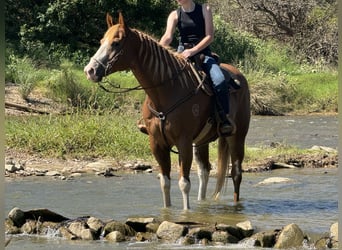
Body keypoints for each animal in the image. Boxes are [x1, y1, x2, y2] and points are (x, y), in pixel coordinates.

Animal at [84, 12, 250, 210]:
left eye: (116, 43)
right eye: (102, 41)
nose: (90, 71)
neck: (167, 90)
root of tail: (239, 76)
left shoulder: (183, 142)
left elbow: (184, 183)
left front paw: (186, 213)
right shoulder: (157, 143)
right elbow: (165, 182)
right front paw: (167, 211)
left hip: (237, 136)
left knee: (237, 173)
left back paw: (236, 206)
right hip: (201, 141)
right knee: (205, 170)